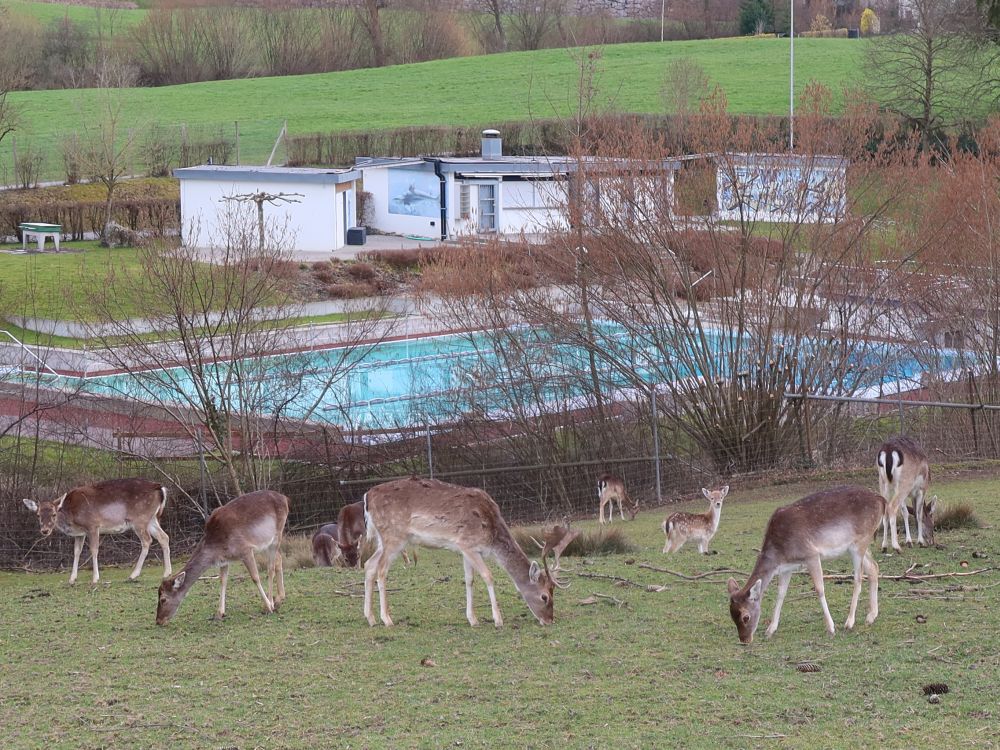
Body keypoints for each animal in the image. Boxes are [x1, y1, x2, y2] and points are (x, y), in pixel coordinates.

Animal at [22, 482, 171, 588]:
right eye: (38, 515)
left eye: (54, 514)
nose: (45, 531)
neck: (71, 515)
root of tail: (160, 489)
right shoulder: (79, 533)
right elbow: (76, 552)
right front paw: (71, 579)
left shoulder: (93, 525)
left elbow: (94, 550)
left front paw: (95, 578)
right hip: (151, 519)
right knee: (164, 537)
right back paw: (167, 573)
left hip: (139, 519)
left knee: (147, 540)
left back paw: (133, 575)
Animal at [155, 490, 290, 624]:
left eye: (163, 599)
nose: (158, 621)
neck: (217, 546)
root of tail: (284, 498)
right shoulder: (225, 560)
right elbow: (223, 580)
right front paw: (219, 613)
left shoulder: (245, 550)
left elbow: (255, 577)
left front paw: (268, 606)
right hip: (265, 544)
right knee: (279, 559)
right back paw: (279, 598)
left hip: (277, 535)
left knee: (270, 568)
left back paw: (271, 603)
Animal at [362, 478, 564, 632]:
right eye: (544, 596)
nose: (549, 620)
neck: (490, 532)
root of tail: (366, 497)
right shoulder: (467, 543)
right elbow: (488, 576)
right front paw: (498, 620)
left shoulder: (466, 549)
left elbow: (469, 580)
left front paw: (473, 619)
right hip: (394, 536)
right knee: (381, 570)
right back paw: (387, 619)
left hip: (383, 540)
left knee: (369, 565)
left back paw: (370, 618)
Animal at [728, 488, 884, 648]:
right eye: (731, 615)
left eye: (746, 617)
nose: (744, 640)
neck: (780, 554)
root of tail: (882, 499)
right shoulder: (787, 568)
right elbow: (781, 593)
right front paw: (770, 630)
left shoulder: (811, 554)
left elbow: (819, 589)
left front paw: (831, 627)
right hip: (859, 546)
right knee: (874, 567)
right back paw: (871, 617)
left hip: (860, 542)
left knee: (858, 579)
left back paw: (849, 622)